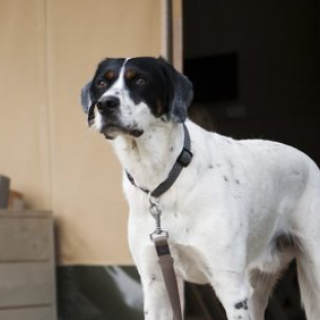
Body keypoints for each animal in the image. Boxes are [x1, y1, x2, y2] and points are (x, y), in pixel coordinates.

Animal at [81, 57, 320, 320]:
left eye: (140, 79)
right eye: (102, 82)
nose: (105, 104)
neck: (164, 176)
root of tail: (309, 161)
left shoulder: (231, 287)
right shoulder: (155, 285)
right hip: (257, 284)